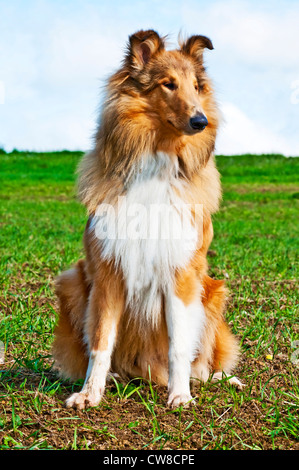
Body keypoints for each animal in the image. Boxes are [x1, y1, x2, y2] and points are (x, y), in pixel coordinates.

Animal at [52, 29, 243, 410]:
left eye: (197, 86)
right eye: (168, 84)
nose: (200, 122)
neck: (158, 159)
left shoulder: (181, 273)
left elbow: (180, 345)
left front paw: (180, 395)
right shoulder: (108, 272)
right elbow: (101, 341)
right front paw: (89, 393)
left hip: (212, 293)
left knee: (205, 361)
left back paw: (217, 379)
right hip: (74, 283)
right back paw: (114, 377)